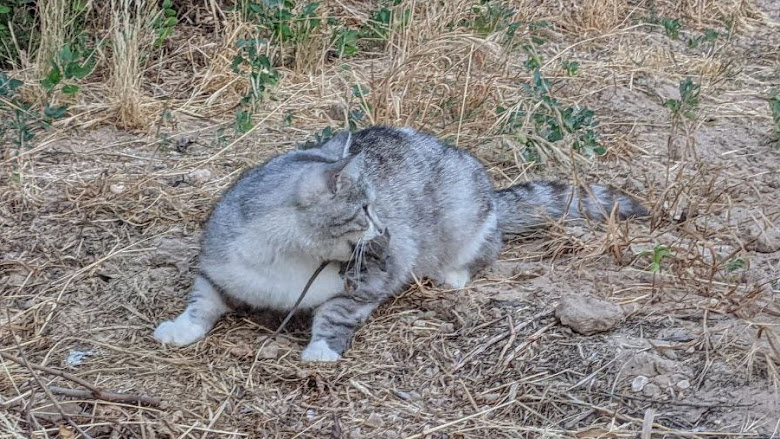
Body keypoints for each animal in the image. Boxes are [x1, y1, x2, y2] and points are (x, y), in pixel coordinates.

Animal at [154, 126, 644, 360]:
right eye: (365, 208)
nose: (385, 230)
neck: (287, 255)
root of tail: (490, 187)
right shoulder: (219, 266)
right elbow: (201, 301)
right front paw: (180, 328)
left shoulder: (369, 282)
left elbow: (335, 312)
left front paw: (321, 349)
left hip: (468, 218)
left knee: (487, 247)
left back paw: (454, 273)